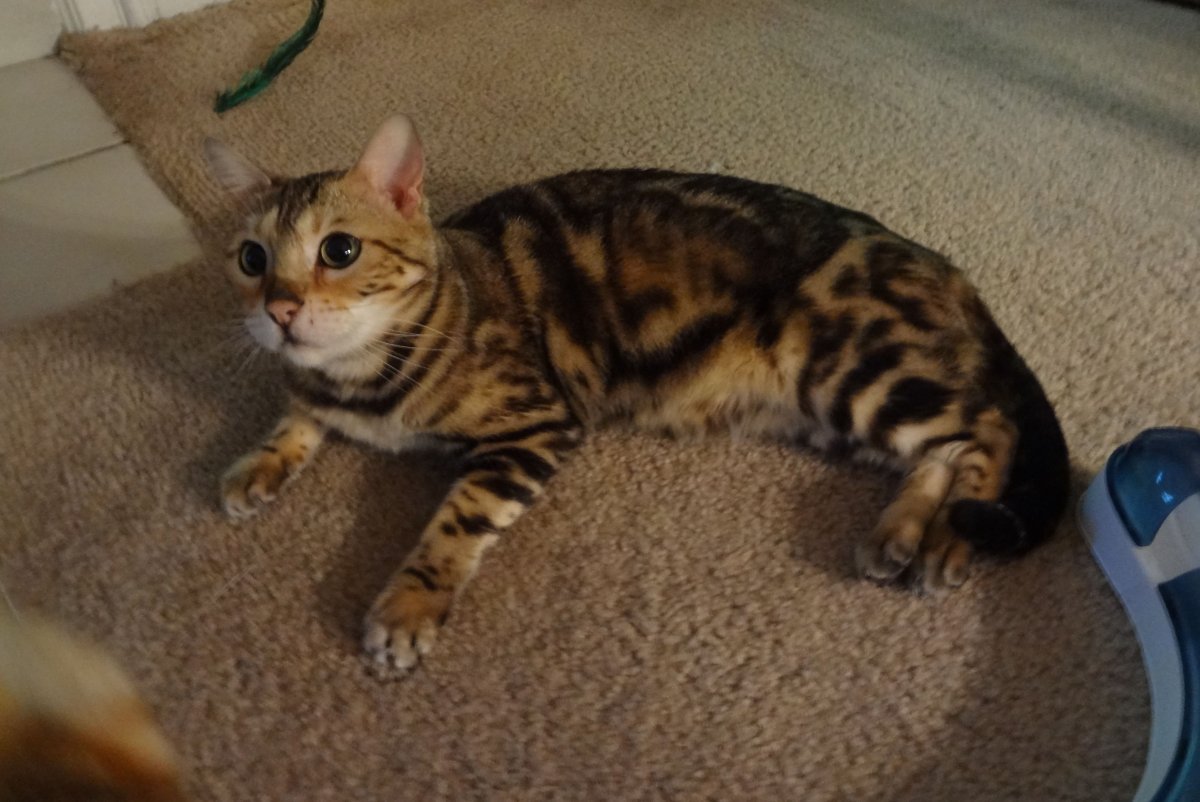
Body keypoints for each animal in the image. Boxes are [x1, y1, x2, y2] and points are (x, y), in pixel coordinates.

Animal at [203, 114, 1069, 672]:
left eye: (340, 251)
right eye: (251, 259)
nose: (279, 309)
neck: (368, 382)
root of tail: (940, 264)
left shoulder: (534, 426)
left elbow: (453, 523)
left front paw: (405, 610)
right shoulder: (317, 390)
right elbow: (295, 412)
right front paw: (256, 463)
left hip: (847, 366)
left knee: (987, 427)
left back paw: (950, 537)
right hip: (837, 411)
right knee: (937, 450)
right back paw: (899, 530)